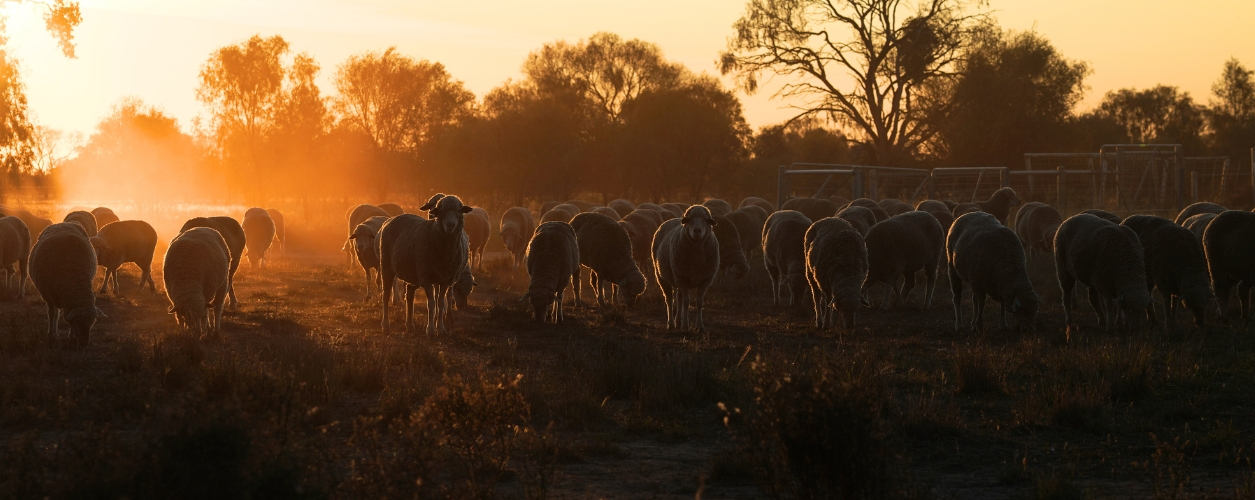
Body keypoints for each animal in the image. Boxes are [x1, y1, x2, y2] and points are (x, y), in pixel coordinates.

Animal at [379, 194, 472, 335]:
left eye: (459, 211)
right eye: (441, 211)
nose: (450, 225)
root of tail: (393, 219)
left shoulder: (445, 279)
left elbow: (440, 303)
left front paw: (441, 329)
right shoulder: (426, 277)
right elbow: (431, 303)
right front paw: (431, 330)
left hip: (412, 272)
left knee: (410, 294)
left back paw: (410, 325)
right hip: (387, 266)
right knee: (386, 295)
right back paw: (385, 325)